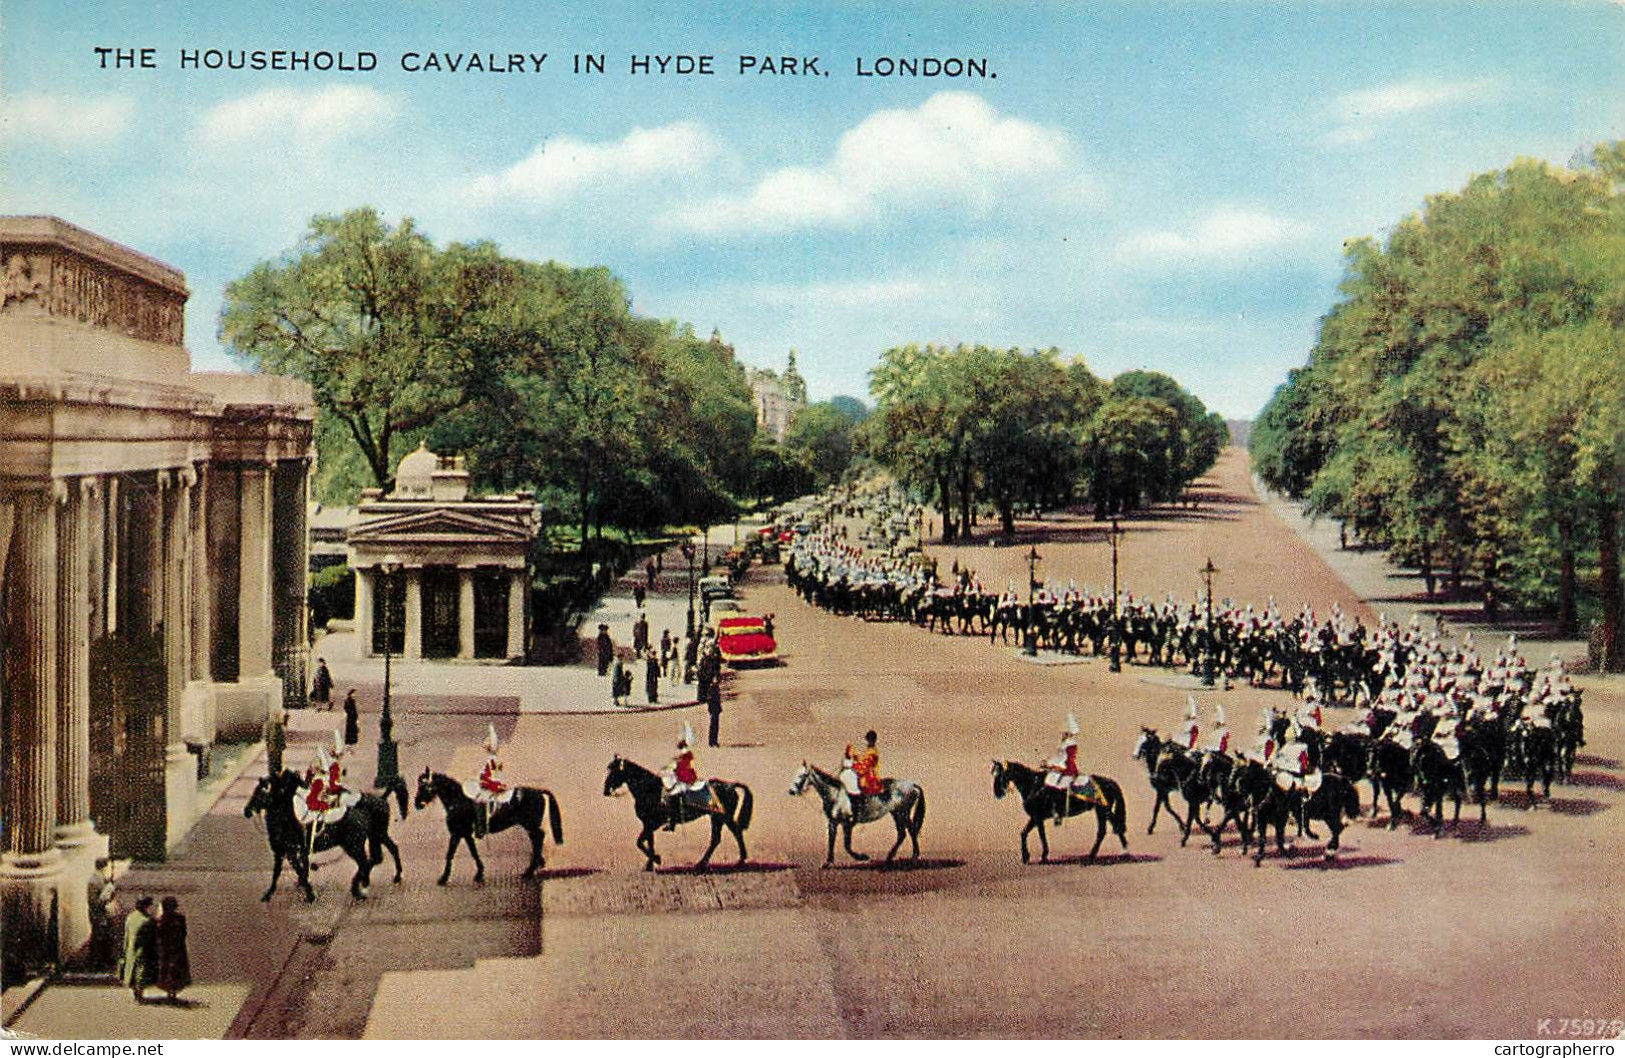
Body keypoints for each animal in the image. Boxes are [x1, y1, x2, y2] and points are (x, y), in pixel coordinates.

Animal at [242, 770, 406, 903]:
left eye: (261, 792)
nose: (247, 810)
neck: (287, 817)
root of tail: (382, 798)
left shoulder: (290, 852)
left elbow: (296, 871)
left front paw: (309, 894)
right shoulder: (283, 852)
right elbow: (279, 873)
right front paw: (271, 893)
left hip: (355, 845)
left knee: (367, 862)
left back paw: (358, 889)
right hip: (377, 835)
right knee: (388, 851)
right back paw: (392, 877)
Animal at [412, 770, 565, 884]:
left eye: (424, 786)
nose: (417, 804)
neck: (459, 801)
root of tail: (539, 792)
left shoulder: (457, 833)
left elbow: (451, 853)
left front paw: (444, 878)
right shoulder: (465, 834)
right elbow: (472, 852)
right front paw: (479, 872)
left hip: (530, 825)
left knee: (538, 839)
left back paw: (530, 870)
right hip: (530, 826)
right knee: (537, 840)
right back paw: (537, 864)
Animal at [604, 757, 754, 871]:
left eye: (614, 772)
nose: (605, 790)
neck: (650, 789)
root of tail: (730, 785)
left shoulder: (654, 824)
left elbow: (640, 842)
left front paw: (656, 859)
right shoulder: (648, 824)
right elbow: (649, 842)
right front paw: (650, 865)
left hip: (723, 817)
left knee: (735, 833)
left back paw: (739, 861)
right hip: (717, 818)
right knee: (717, 839)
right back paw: (702, 864)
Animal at [988, 757, 1131, 864]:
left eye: (1000, 775)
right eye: (994, 774)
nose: (997, 792)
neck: (1034, 784)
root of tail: (1109, 782)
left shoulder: (1036, 817)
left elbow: (1033, 834)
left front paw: (1033, 856)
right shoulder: (1038, 818)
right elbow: (1031, 834)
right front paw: (1036, 856)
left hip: (1102, 811)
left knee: (1105, 830)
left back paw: (1094, 856)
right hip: (1103, 811)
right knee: (1114, 827)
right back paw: (1121, 852)